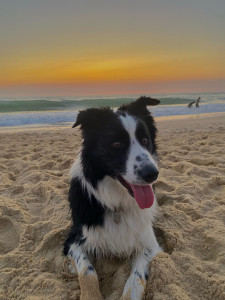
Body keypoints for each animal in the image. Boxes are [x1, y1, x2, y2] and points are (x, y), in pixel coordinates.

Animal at [62, 96, 162, 300]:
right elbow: (87, 271)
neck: (117, 203)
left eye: (145, 140)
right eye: (116, 144)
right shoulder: (74, 239)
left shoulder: (150, 245)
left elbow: (136, 280)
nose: (152, 174)